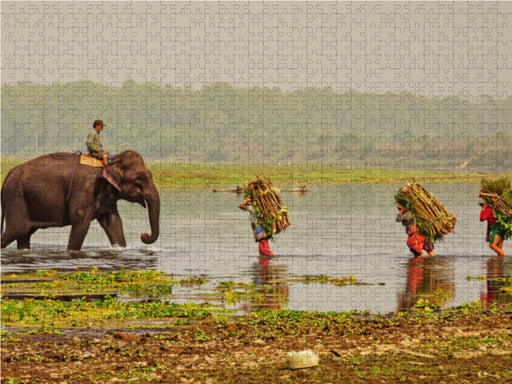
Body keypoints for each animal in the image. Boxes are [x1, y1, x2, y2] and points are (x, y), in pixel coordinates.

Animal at [0, 150, 160, 252]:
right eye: (139, 179)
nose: (144, 235)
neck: (109, 161)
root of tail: (9, 173)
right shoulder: (85, 188)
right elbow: (80, 221)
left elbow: (113, 223)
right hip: (15, 197)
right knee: (17, 230)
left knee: (24, 234)